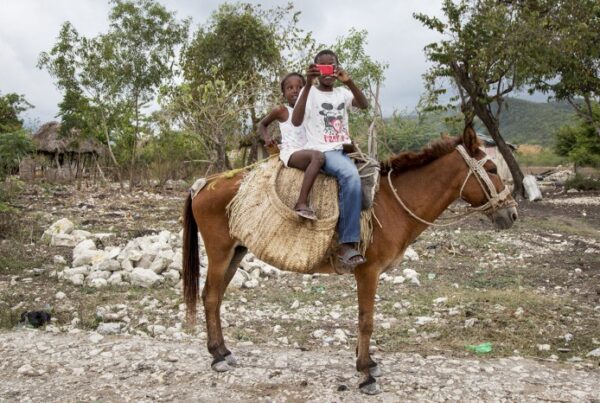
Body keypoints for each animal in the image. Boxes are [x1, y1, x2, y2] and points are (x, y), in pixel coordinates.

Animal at [180, 126, 516, 394]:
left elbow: (364, 319)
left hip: (236, 252)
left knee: (214, 298)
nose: (511, 213)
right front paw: (366, 373)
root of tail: (203, 183)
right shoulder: (368, 271)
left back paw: (223, 352)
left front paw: (365, 362)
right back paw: (217, 357)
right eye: (492, 168)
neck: (392, 203)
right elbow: (366, 320)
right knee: (211, 297)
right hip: (220, 253)